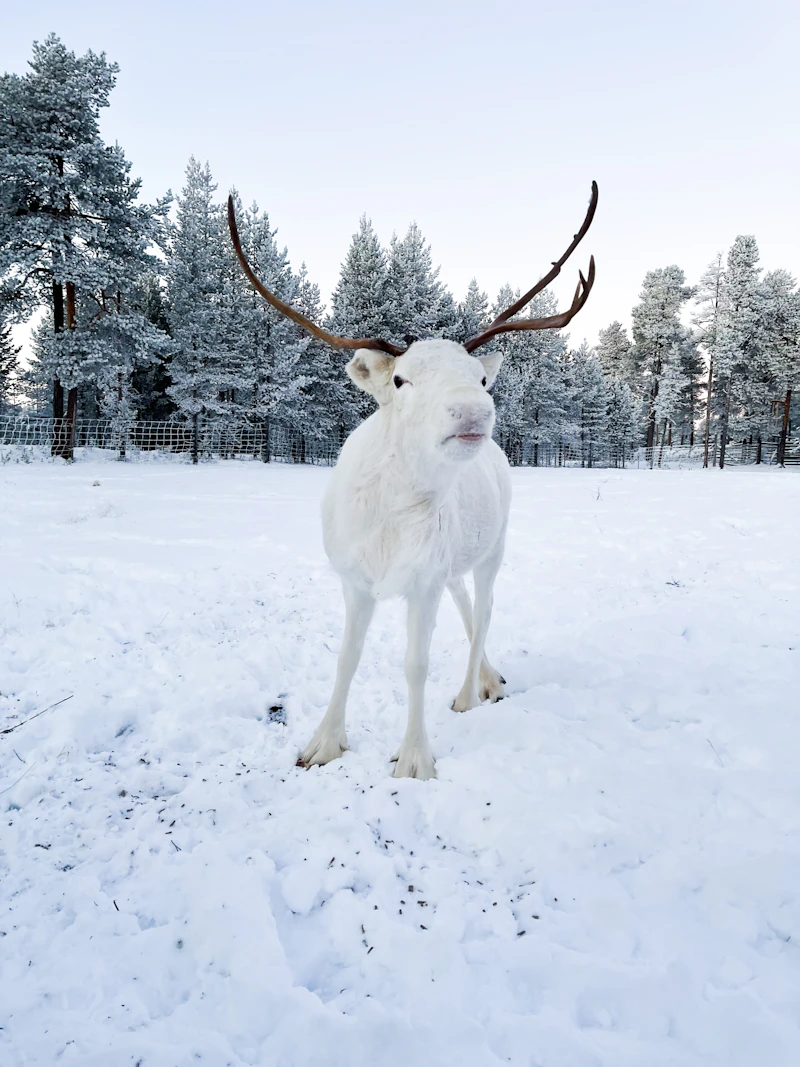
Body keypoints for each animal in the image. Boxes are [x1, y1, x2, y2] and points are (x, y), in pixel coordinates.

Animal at [228, 182, 598, 779]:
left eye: (479, 379)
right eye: (399, 379)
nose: (473, 410)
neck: (390, 520)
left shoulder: (423, 579)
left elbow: (416, 664)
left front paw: (414, 757)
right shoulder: (355, 577)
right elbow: (347, 657)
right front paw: (322, 744)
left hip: (494, 546)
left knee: (485, 609)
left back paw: (472, 691)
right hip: (454, 560)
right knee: (467, 603)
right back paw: (488, 676)